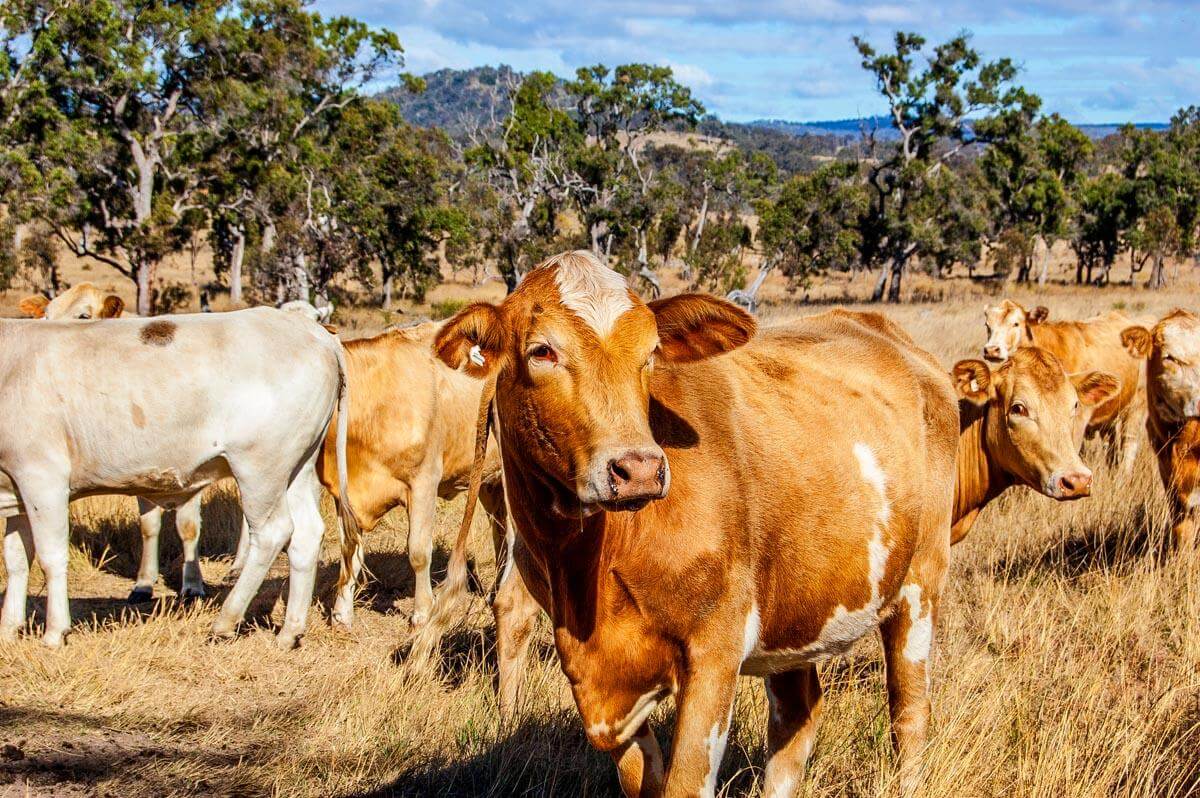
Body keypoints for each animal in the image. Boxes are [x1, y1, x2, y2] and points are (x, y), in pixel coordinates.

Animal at [19, 283, 206, 600]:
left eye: (84, 315)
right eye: (46, 315)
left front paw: (192, 585)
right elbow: (148, 525)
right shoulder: (142, 470)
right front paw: (143, 583)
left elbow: (188, 526)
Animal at [422, 252, 955, 796]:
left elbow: (685, 782)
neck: (589, 567)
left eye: (652, 352)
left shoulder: (714, 651)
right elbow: (643, 780)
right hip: (799, 604)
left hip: (920, 583)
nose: (638, 469)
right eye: (542, 351)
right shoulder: (603, 684)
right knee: (797, 718)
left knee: (909, 714)